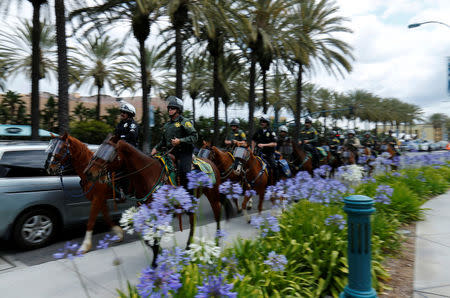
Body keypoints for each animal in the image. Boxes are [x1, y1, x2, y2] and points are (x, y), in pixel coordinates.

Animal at [84, 140, 232, 268]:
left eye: (108, 153)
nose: (88, 173)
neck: (148, 175)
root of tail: (211, 162)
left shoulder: (160, 213)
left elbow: (155, 237)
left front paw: (155, 261)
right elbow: (148, 238)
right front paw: (158, 253)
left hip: (212, 194)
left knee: (217, 214)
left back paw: (217, 240)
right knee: (193, 221)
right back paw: (189, 247)